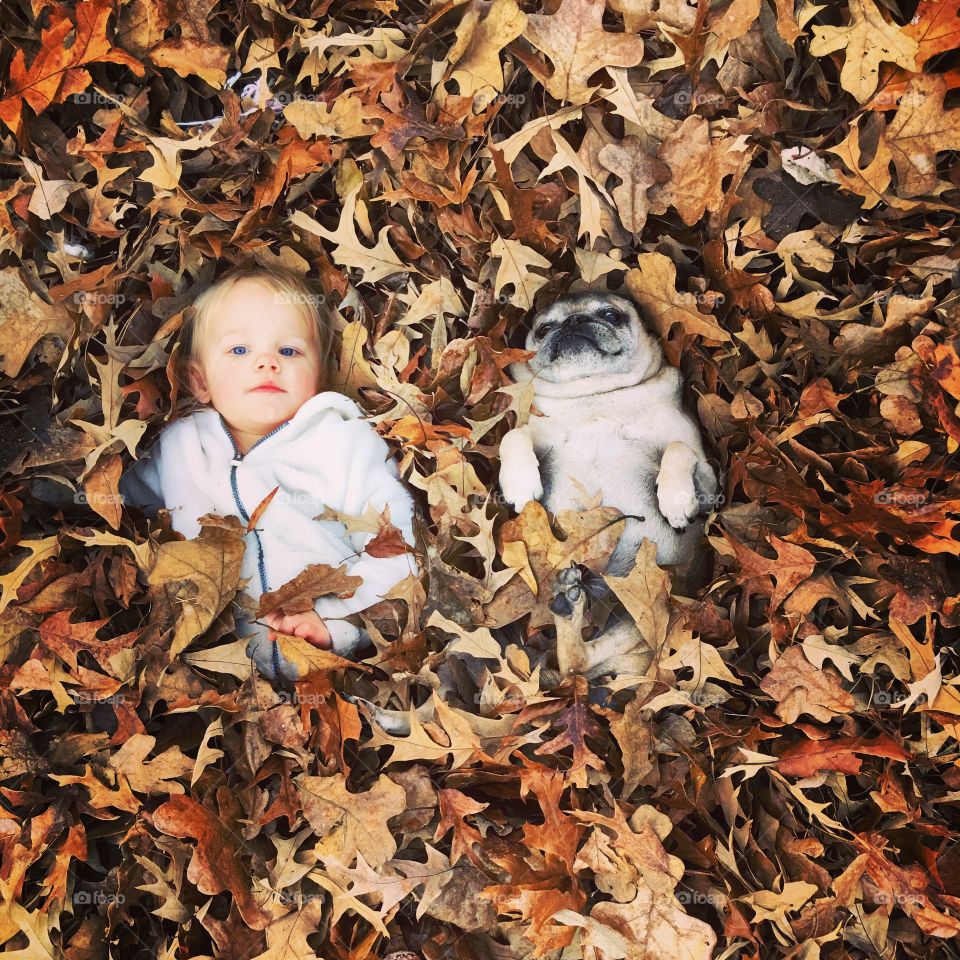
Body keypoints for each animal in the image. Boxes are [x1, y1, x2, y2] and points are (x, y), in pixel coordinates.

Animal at [498, 290, 716, 576]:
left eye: (611, 315)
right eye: (544, 329)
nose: (573, 320)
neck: (594, 394)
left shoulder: (709, 486)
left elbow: (679, 448)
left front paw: (675, 500)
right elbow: (511, 436)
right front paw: (520, 484)